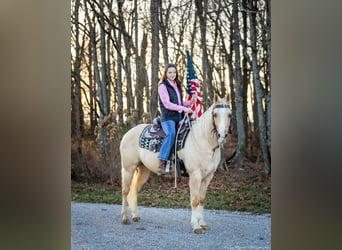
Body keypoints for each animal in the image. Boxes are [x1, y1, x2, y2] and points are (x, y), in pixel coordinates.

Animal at [120, 96, 232, 233]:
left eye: (229, 115)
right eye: (215, 114)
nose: (222, 135)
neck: (202, 140)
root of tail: (128, 133)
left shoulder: (208, 177)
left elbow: (201, 200)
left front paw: (202, 223)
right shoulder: (195, 175)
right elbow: (194, 200)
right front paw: (196, 226)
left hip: (143, 170)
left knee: (134, 190)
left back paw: (135, 215)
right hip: (128, 168)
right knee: (125, 191)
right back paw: (125, 218)